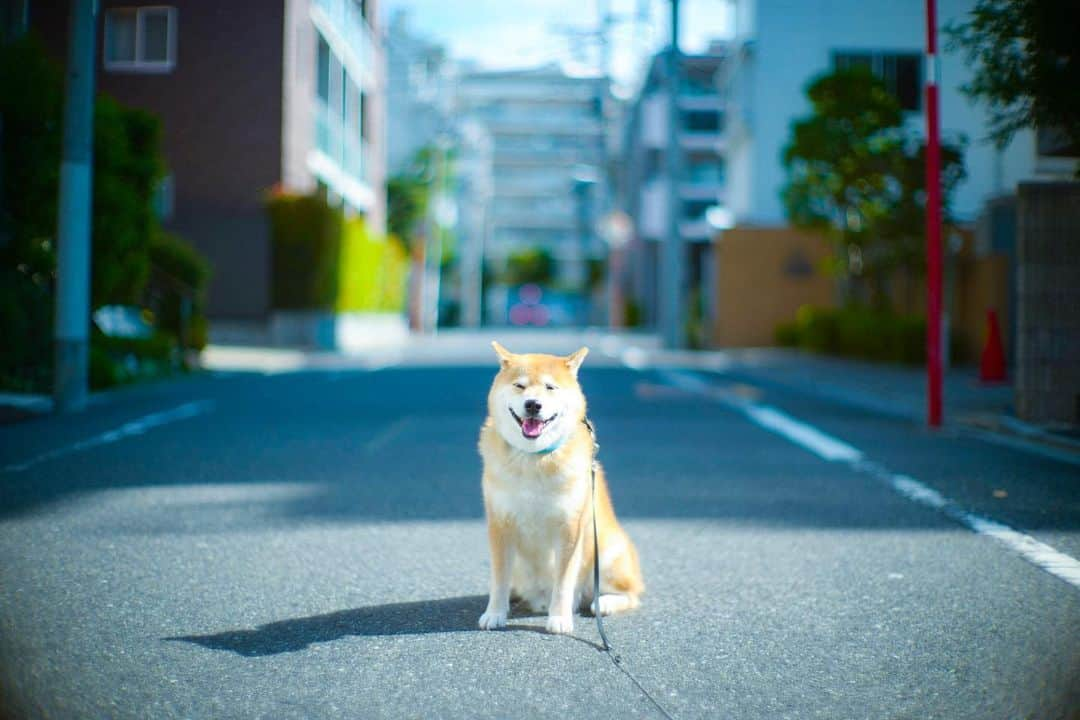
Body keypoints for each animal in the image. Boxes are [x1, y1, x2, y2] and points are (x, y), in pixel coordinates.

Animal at [479, 341, 639, 634]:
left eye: (550, 387)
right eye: (520, 386)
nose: (533, 404)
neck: (534, 458)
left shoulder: (570, 527)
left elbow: (563, 581)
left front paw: (560, 618)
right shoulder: (500, 523)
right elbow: (498, 578)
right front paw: (495, 613)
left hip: (606, 551)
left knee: (630, 593)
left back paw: (604, 602)